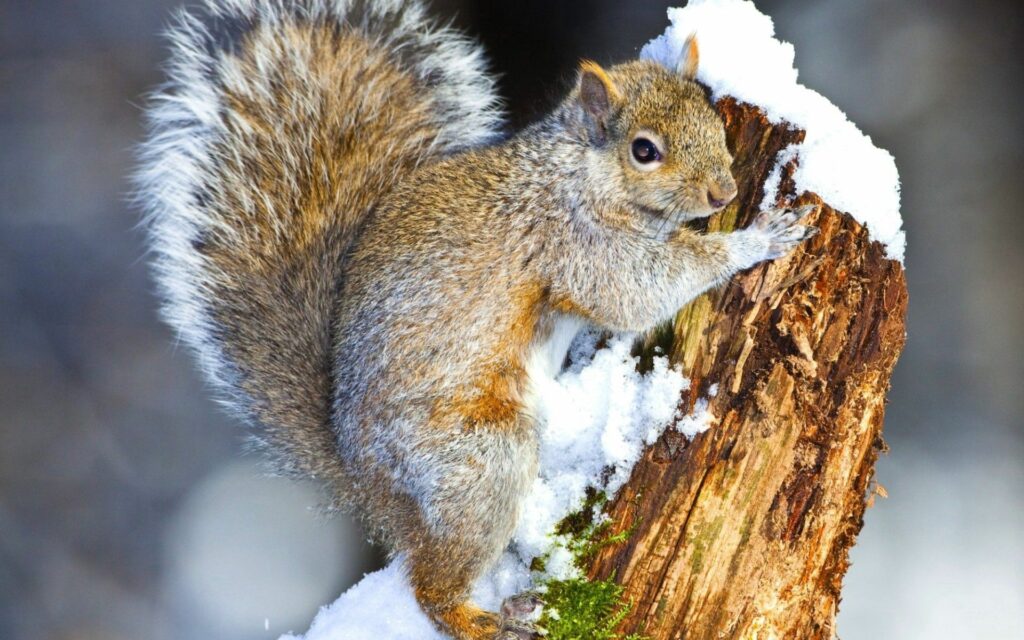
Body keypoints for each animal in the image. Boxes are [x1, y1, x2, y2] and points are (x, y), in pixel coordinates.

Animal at [138, 1, 815, 638]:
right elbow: (635, 290)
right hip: (477, 461)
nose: (724, 195)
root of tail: (368, 488)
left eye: (714, 121)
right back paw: (478, 618)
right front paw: (755, 240)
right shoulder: (575, 243)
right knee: (431, 583)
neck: (579, 173)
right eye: (643, 151)